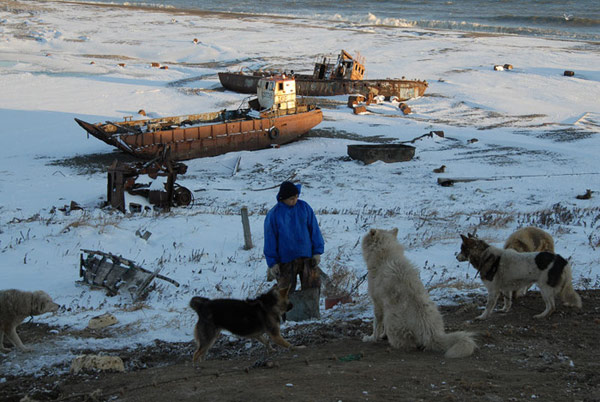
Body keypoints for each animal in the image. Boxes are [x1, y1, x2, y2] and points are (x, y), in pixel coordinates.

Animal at [364, 229, 476, 358]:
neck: (386, 256)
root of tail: (431, 333)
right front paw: (382, 336)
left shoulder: (378, 304)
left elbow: (376, 325)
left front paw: (372, 338)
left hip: (391, 318)